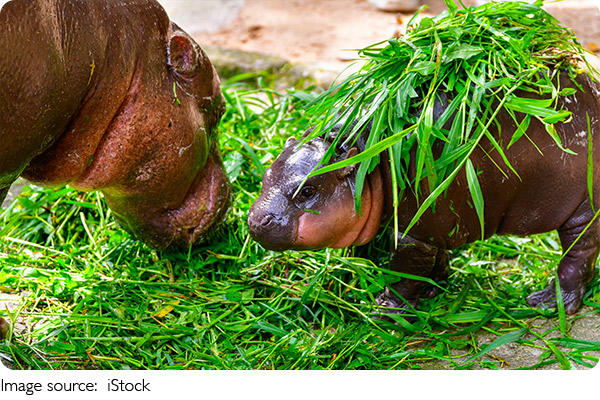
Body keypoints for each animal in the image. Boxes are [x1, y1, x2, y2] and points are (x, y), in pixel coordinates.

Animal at [248, 71, 600, 316]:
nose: (255, 220)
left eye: (307, 190)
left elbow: (404, 275)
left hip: (584, 211)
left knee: (577, 255)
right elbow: (437, 257)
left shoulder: (413, 236)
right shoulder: (436, 226)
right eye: (265, 175)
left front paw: (385, 310)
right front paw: (436, 287)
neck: (366, 161)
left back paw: (546, 303)